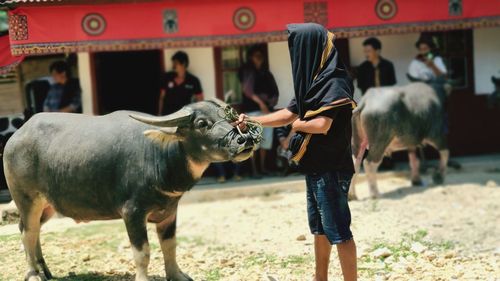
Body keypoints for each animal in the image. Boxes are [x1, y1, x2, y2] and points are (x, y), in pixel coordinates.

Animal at [3, 99, 260, 280]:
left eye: (229, 118)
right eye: (202, 123)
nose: (244, 139)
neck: (159, 156)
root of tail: (14, 139)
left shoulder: (169, 212)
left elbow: (170, 247)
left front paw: (176, 275)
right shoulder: (133, 212)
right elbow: (142, 252)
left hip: (46, 205)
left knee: (33, 231)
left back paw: (45, 271)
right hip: (27, 199)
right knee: (27, 232)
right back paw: (33, 274)